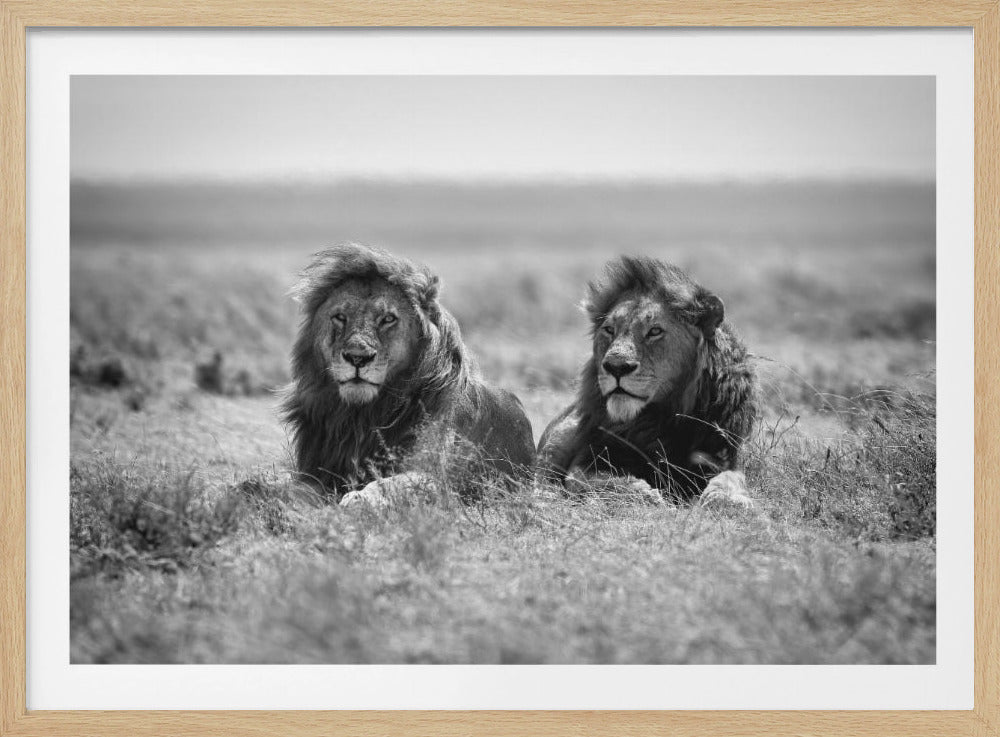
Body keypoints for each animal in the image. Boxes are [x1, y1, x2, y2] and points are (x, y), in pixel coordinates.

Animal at [281, 244, 535, 506]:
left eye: (388, 319)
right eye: (340, 317)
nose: (357, 358)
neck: (362, 416)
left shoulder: (437, 477)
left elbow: (389, 484)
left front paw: (359, 499)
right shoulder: (315, 471)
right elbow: (293, 490)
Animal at [536, 255, 757, 506]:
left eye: (655, 331)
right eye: (609, 330)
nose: (616, 366)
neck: (659, 419)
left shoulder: (722, 455)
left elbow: (731, 478)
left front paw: (729, 500)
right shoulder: (589, 458)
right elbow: (593, 480)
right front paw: (648, 495)